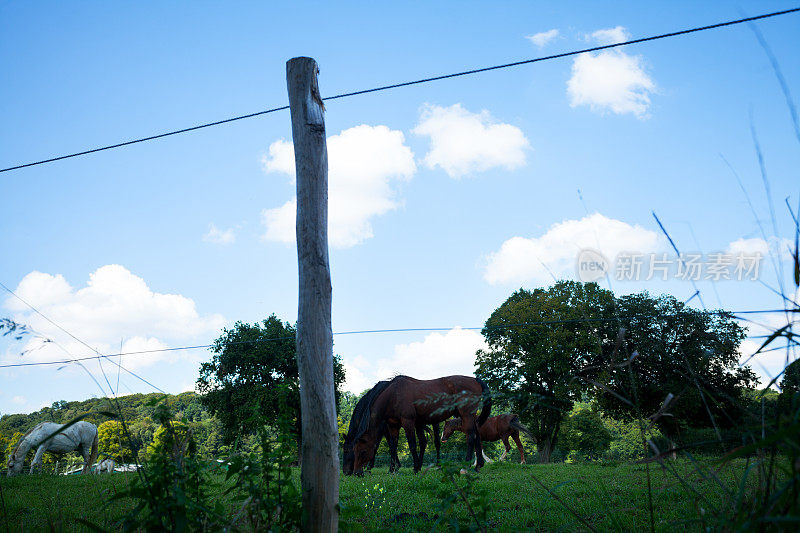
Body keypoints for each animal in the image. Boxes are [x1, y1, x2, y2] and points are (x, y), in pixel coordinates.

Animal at [352, 376, 490, 472]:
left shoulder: (408, 422)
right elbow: (393, 446)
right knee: (477, 436)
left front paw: (415, 468)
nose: (357, 473)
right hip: (469, 417)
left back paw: (465, 466)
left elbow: (413, 445)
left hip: (467, 415)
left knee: (471, 437)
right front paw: (392, 470)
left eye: (363, 451)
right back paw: (478, 465)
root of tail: (475, 379)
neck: (394, 395)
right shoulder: (393, 426)